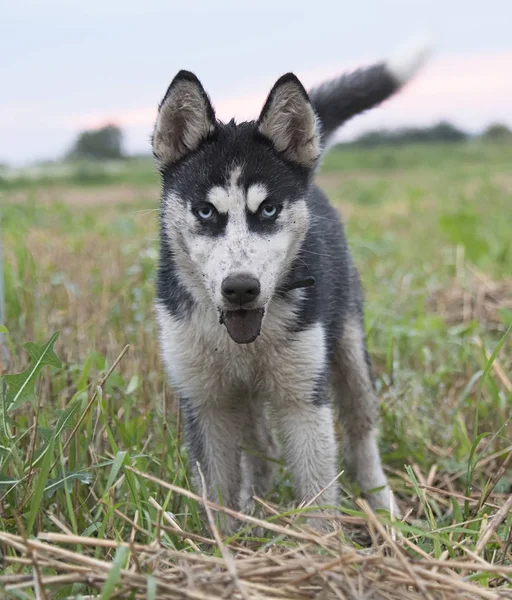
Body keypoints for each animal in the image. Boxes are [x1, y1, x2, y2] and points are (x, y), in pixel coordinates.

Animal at [154, 39, 430, 532]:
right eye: (206, 211)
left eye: (268, 210)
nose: (240, 288)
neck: (243, 341)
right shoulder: (205, 400)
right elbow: (215, 494)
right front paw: (221, 542)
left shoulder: (303, 397)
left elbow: (318, 491)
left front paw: (320, 544)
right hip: (243, 395)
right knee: (260, 445)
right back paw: (256, 501)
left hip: (348, 350)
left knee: (361, 432)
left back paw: (383, 506)